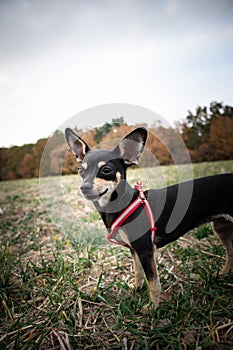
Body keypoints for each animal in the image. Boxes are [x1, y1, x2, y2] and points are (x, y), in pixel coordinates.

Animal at [65, 127, 233, 308]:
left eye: (106, 170)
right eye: (80, 171)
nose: (84, 187)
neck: (123, 204)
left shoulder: (145, 250)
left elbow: (153, 282)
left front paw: (153, 307)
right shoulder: (134, 250)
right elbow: (138, 272)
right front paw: (137, 289)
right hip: (221, 228)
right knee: (231, 253)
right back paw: (223, 274)